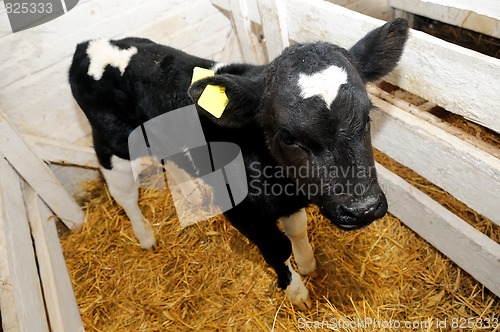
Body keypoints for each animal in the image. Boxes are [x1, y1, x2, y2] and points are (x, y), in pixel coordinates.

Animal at [68, 18, 408, 312]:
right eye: (287, 136)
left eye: (367, 116)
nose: (362, 208)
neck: (281, 183)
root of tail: (88, 44)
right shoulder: (242, 211)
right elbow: (276, 248)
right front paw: (296, 291)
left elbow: (297, 230)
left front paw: (308, 263)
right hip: (111, 142)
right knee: (124, 194)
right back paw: (146, 237)